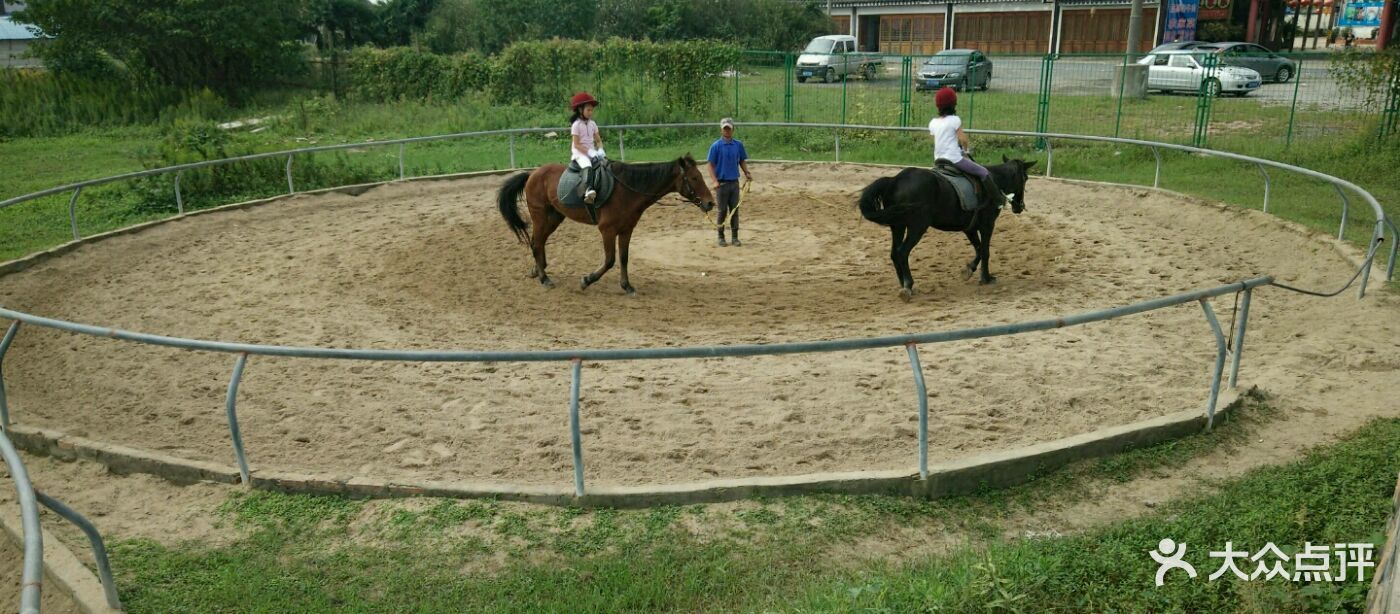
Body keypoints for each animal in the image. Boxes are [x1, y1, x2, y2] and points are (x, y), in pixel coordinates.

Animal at [495, 155, 711, 295]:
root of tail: (532, 174)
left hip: (555, 217)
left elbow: (623, 258)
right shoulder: (607, 230)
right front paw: (586, 280)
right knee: (536, 242)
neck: (628, 190)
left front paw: (627, 286)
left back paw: (539, 270)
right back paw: (544, 278)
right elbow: (610, 260)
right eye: (694, 178)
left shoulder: (626, 230)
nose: (710, 203)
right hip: (540, 216)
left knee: (538, 242)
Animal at [856, 155, 1036, 300]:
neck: (994, 181)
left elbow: (978, 249)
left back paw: (904, 285)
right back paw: (908, 285)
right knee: (902, 252)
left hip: (898, 225)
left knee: (894, 253)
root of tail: (896, 180)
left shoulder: (969, 228)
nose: (1019, 207)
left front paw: (968, 270)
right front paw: (986, 278)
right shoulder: (987, 224)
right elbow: (985, 251)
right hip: (917, 226)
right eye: (1026, 177)